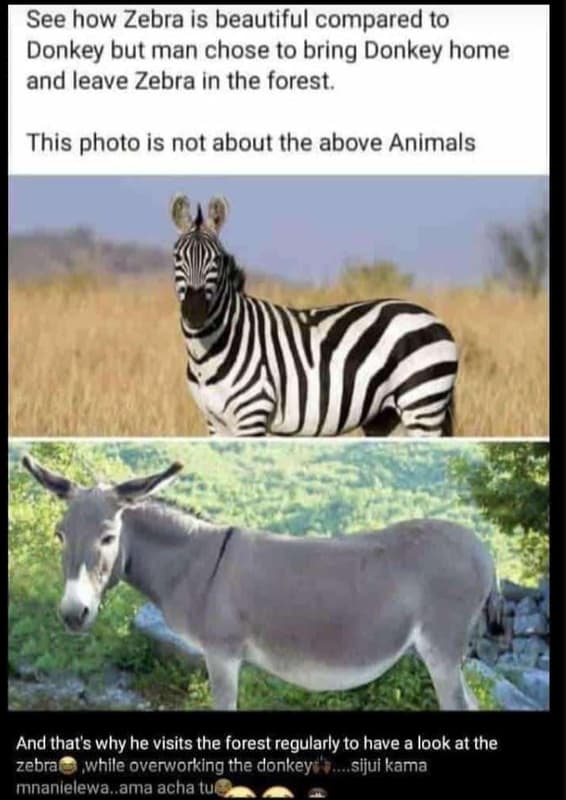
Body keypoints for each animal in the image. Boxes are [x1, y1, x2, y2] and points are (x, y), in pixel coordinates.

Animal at [170, 193, 458, 437]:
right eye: (177, 257)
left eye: (216, 260)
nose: (195, 312)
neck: (208, 353)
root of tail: (435, 319)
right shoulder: (214, 421)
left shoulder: (253, 413)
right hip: (386, 417)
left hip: (423, 404)